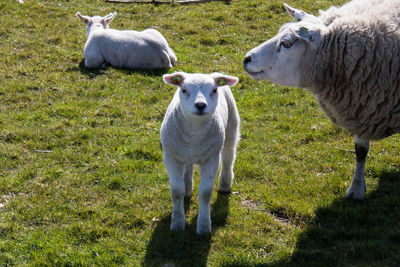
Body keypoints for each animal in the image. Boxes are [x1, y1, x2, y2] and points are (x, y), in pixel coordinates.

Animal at [160, 72, 241, 236]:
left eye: (214, 90)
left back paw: (225, 184)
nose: (200, 105)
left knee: (229, 157)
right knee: (189, 166)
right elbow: (176, 191)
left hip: (232, 126)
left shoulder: (211, 158)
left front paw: (204, 227)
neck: (194, 133)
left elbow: (205, 192)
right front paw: (177, 223)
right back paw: (187, 187)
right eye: (184, 90)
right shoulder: (171, 157)